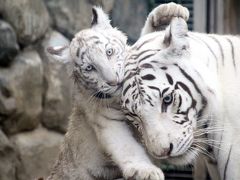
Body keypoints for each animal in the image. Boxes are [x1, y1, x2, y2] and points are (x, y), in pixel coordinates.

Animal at [46, 3, 189, 180]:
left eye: (109, 52)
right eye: (90, 68)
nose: (114, 81)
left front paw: (170, 11)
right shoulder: (107, 119)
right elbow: (126, 147)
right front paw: (146, 170)